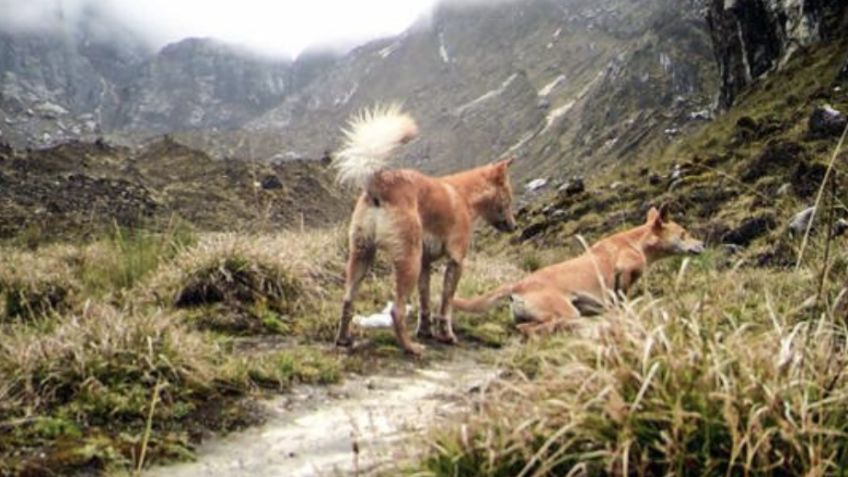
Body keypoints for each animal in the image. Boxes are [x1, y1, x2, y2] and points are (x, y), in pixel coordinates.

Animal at [334, 107, 512, 354]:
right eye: (509, 198)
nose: (514, 226)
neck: (464, 197)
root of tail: (380, 182)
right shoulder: (456, 262)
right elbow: (446, 305)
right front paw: (446, 335)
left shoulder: (426, 264)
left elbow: (425, 302)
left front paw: (426, 331)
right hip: (409, 261)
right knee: (396, 310)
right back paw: (411, 348)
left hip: (362, 256)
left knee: (347, 300)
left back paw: (344, 339)